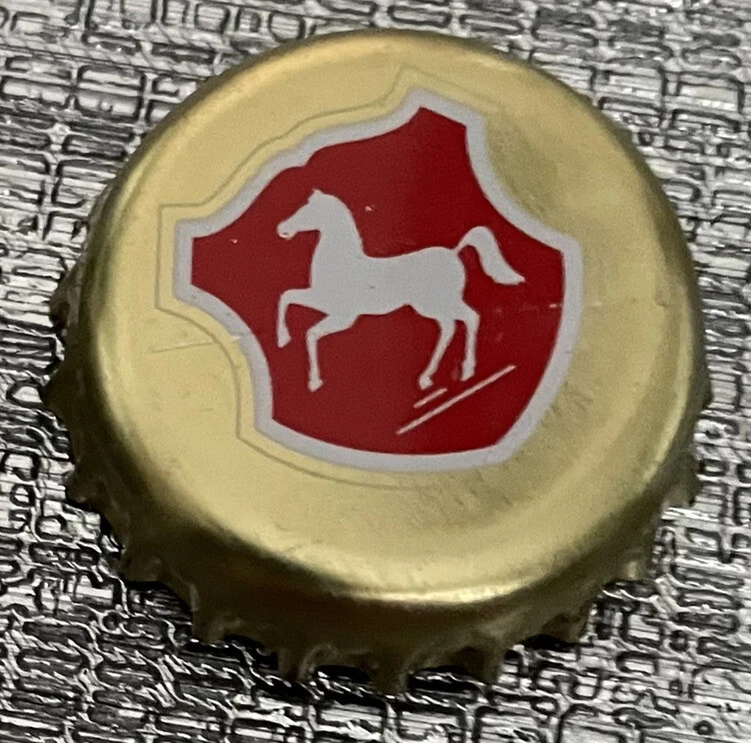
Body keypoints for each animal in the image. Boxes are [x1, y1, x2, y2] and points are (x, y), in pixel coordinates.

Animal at [276, 190, 524, 392]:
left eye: (306, 209)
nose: (281, 228)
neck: (343, 262)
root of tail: (454, 252)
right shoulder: (323, 302)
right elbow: (287, 296)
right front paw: (283, 340)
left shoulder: (343, 315)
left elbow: (309, 331)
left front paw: (311, 378)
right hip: (437, 304)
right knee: (457, 323)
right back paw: (440, 375)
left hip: (434, 303)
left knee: (464, 320)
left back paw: (453, 372)